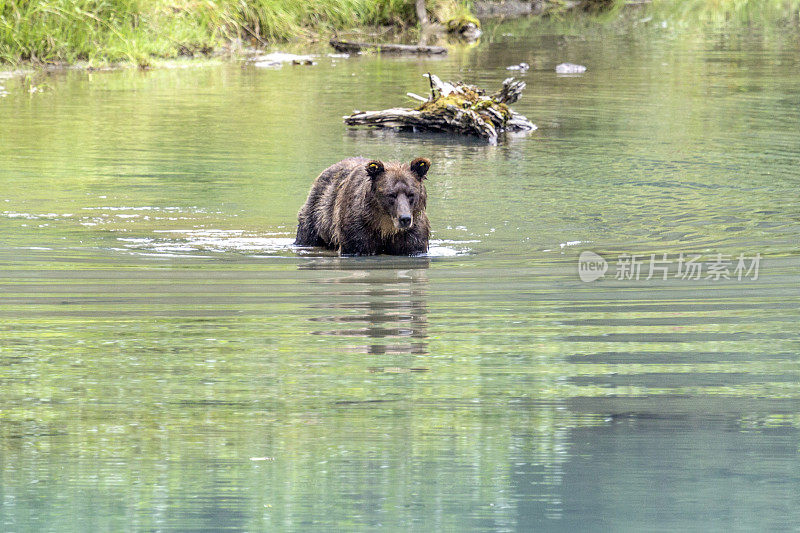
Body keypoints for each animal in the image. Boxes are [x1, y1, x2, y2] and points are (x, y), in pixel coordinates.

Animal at [296, 156, 432, 256]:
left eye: (411, 194)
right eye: (391, 194)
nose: (405, 219)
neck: (385, 226)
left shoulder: (412, 233)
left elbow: (412, 246)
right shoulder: (358, 227)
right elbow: (357, 246)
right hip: (317, 212)